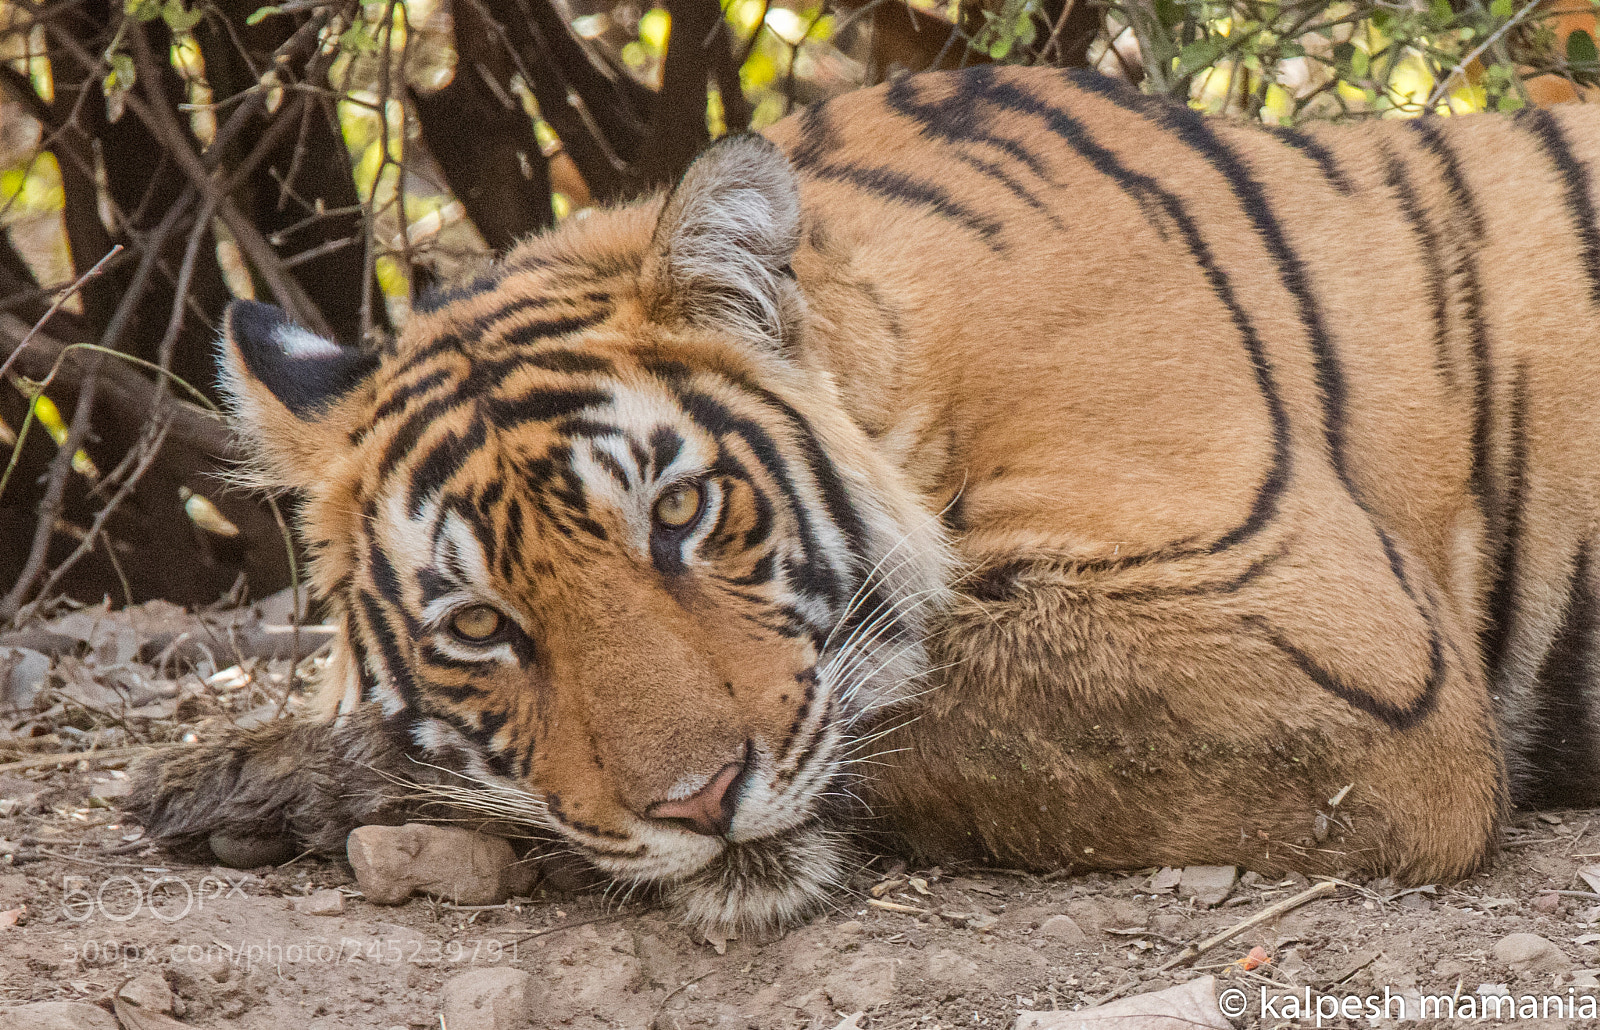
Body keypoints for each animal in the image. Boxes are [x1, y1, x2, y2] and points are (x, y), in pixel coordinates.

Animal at [128, 63, 1600, 934]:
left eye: (681, 515)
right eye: (482, 628)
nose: (699, 803)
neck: (911, 367)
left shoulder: (1345, 657)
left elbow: (920, 695)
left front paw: (270, 778)